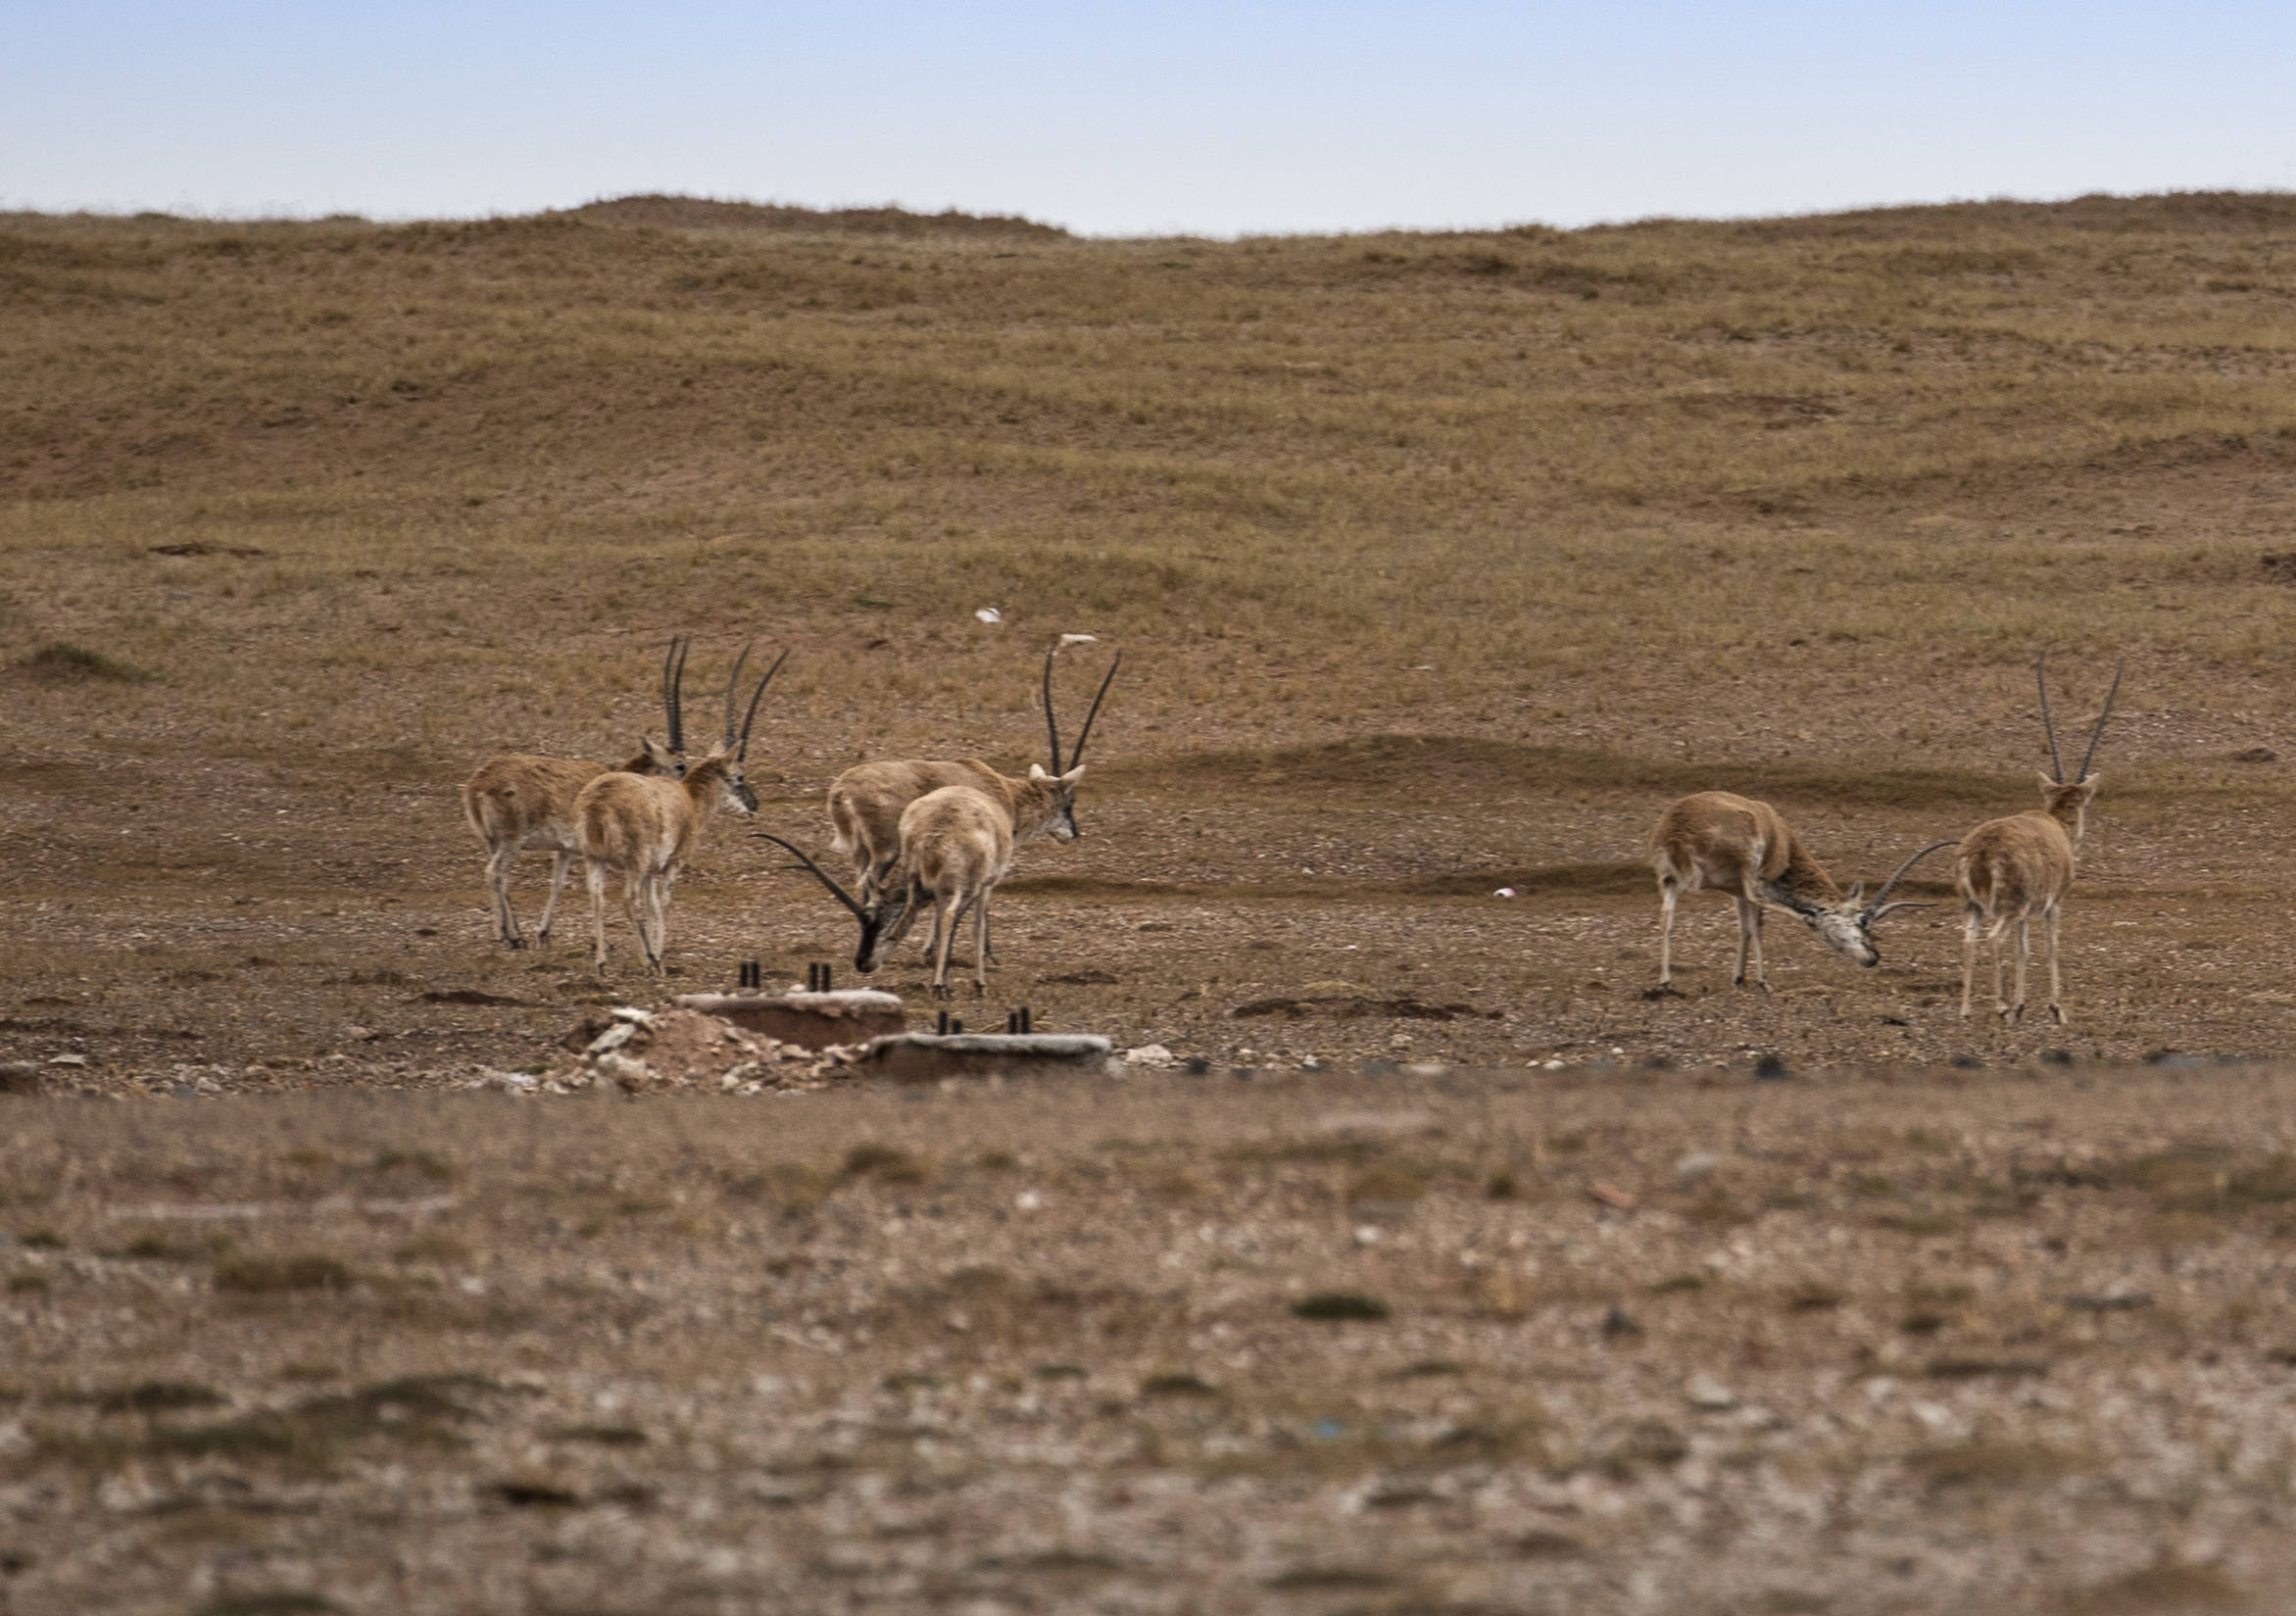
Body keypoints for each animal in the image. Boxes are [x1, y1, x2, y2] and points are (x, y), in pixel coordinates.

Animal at [459, 642, 688, 955]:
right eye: (680, 765)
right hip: (511, 840)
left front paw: (543, 933)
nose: (681, 795)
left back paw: (514, 932)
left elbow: (557, 883)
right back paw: (508, 936)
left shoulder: (565, 849)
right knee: (494, 873)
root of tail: (477, 785)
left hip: (493, 841)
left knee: (501, 878)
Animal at [573, 642, 789, 973]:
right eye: (739, 775)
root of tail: (597, 802)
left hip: (594, 859)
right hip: (633, 863)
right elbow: (663, 903)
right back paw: (649, 962)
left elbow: (652, 906)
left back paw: (601, 963)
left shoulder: (651, 871)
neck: (689, 798)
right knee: (627, 900)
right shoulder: (672, 864)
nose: (754, 804)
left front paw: (651, 954)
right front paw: (657, 956)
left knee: (596, 898)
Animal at [761, 780, 1014, 996]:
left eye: (875, 921)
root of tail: (932, 836)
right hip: (961, 882)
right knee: (950, 916)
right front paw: (978, 984)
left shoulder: (940, 891)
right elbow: (976, 925)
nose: (862, 964)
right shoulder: (984, 884)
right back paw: (939, 986)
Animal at [1643, 789, 1946, 991]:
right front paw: (1761, 980)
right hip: (1748, 869)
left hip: (1668, 881)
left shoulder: (1735, 890)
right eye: (1862, 920)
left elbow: (1744, 927)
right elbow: (1756, 924)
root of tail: (1677, 828)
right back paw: (1802, 923)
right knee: (1762, 908)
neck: (1781, 837)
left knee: (1666, 919)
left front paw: (1738, 977)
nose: (1873, 957)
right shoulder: (1754, 882)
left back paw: (1665, 980)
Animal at [1965, 656, 2121, 1023]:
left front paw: (2021, 1005)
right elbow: (2051, 946)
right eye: (2084, 802)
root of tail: (1981, 851)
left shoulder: (2026, 913)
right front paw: (2055, 1008)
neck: (2055, 823)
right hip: (2008, 909)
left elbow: (2024, 949)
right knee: (1994, 939)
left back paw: (1965, 1011)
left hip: (1976, 906)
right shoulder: (2053, 904)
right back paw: (2000, 1006)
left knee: (1969, 940)